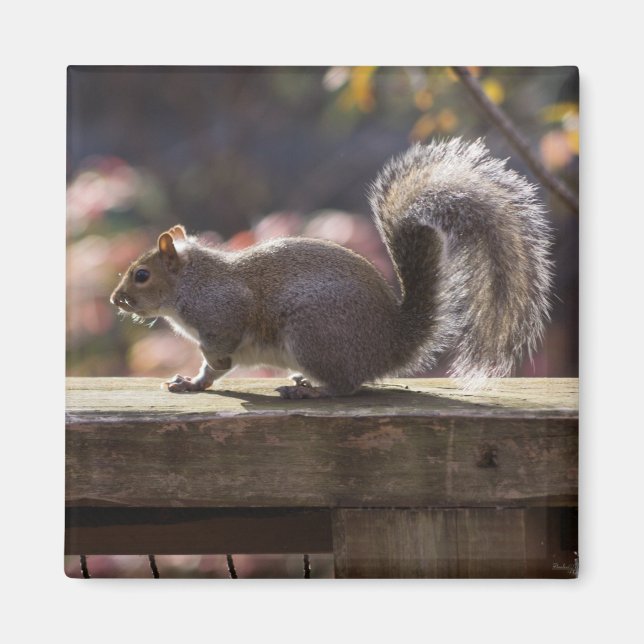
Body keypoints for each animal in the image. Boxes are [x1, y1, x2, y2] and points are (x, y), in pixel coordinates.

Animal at [110, 138, 552, 398]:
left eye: (142, 275)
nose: (117, 299)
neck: (190, 282)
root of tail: (391, 342)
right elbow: (210, 371)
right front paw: (193, 382)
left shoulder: (223, 311)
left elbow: (220, 349)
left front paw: (212, 366)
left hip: (313, 333)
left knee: (345, 387)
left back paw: (310, 390)